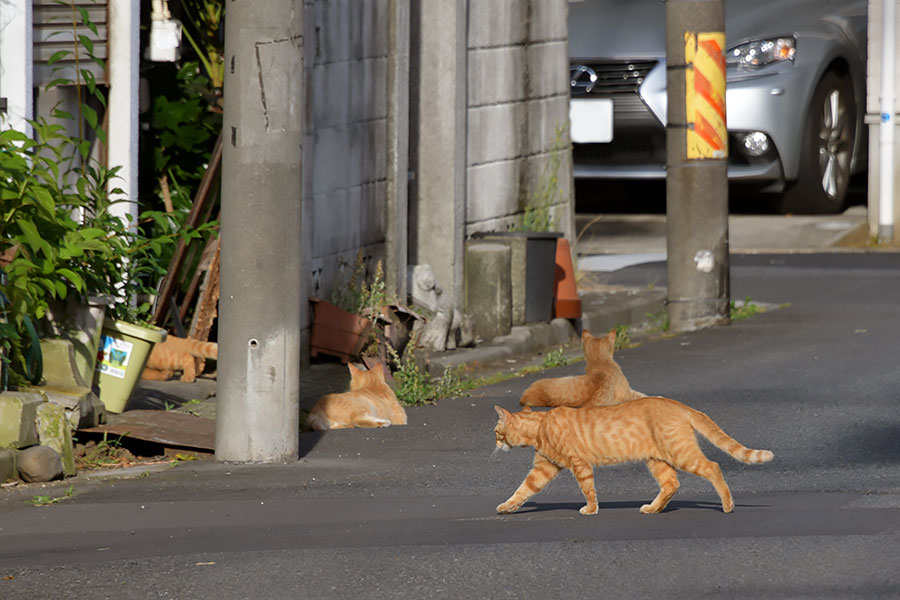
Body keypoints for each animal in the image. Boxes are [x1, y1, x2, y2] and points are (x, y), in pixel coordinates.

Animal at [492, 398, 772, 516]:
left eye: (496, 431)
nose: (493, 443)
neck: (541, 426)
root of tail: (679, 404)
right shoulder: (544, 468)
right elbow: (522, 490)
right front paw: (507, 506)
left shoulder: (579, 465)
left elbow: (588, 490)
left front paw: (591, 509)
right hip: (657, 460)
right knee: (672, 484)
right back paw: (653, 508)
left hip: (681, 453)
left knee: (713, 467)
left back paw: (728, 505)